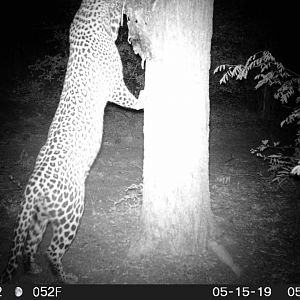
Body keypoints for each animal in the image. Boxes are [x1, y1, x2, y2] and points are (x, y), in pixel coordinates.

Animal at [0, 0, 143, 284]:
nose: (129, 5)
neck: (87, 28)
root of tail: (32, 189)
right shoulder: (114, 86)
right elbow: (132, 100)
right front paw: (147, 97)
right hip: (72, 209)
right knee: (52, 250)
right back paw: (66, 277)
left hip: (40, 218)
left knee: (30, 244)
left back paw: (33, 269)